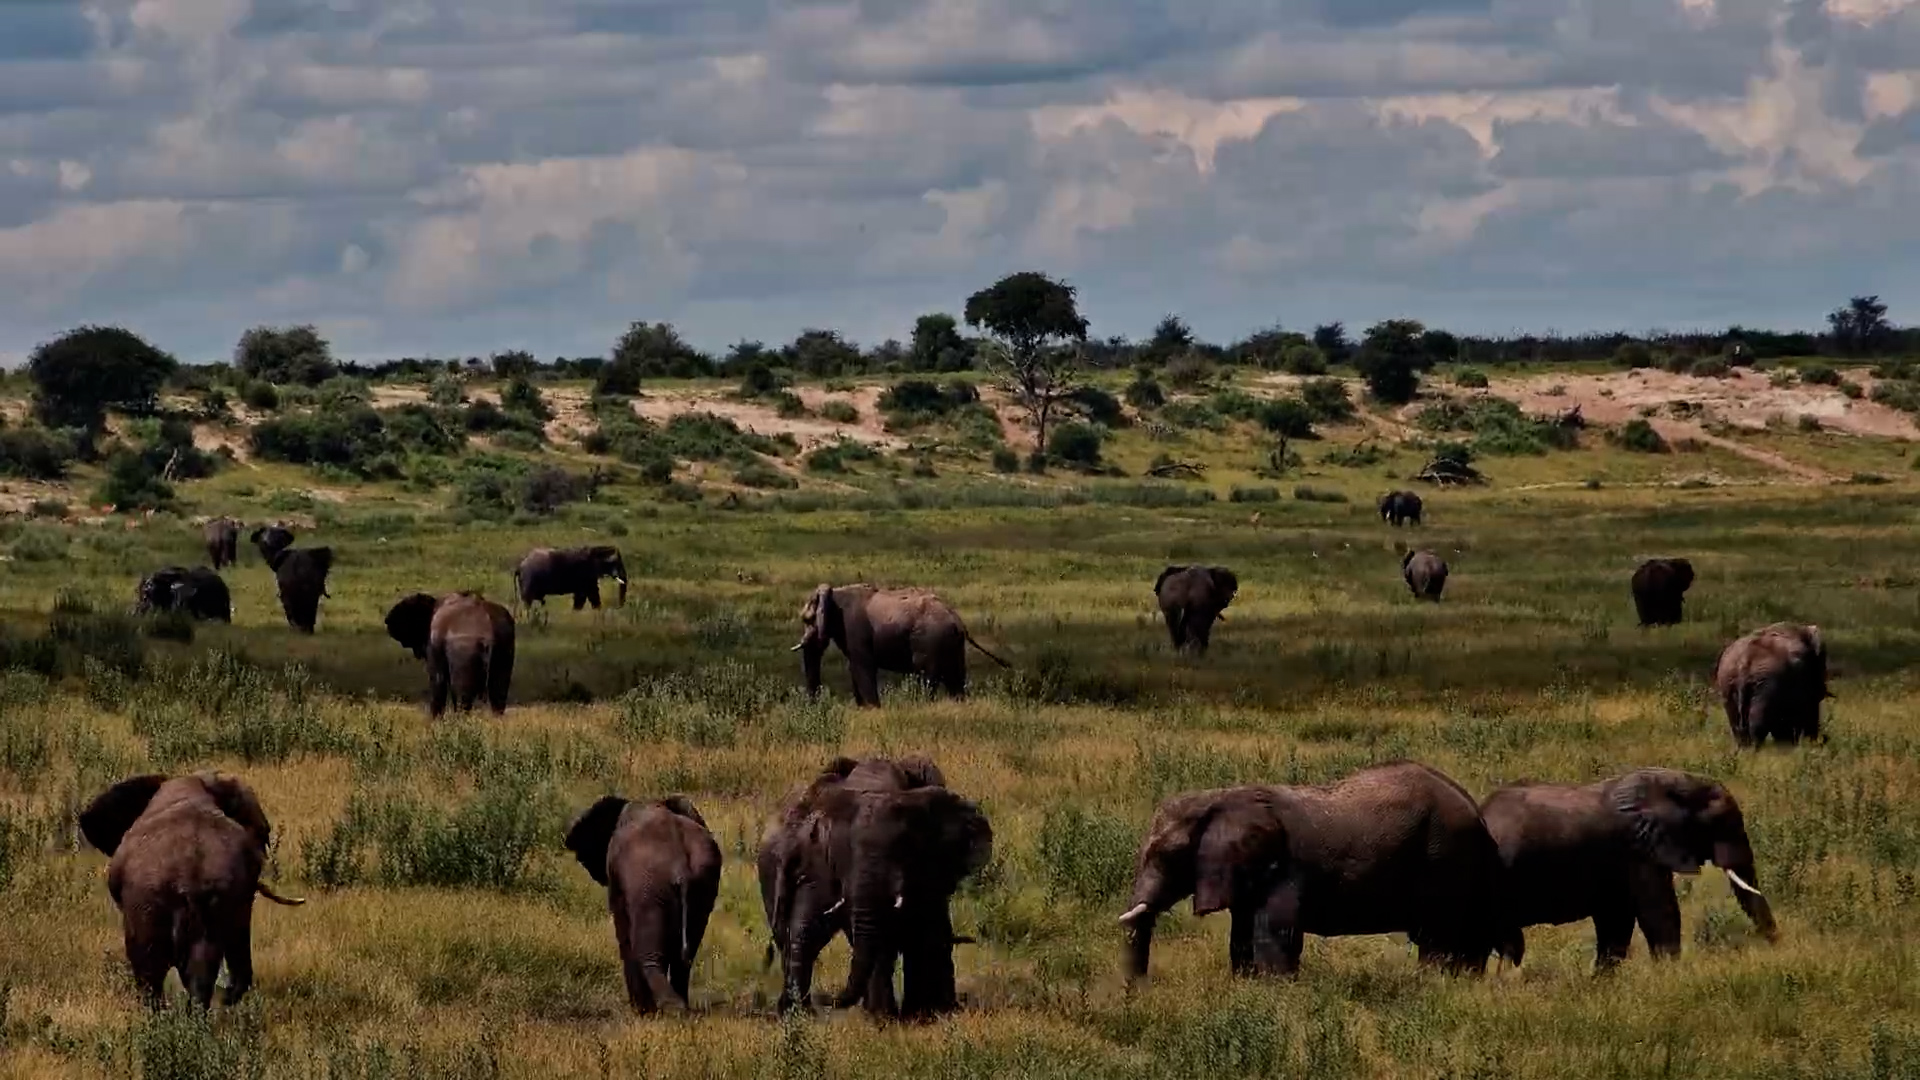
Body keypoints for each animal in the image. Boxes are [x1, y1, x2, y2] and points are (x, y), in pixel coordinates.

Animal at [384, 591, 516, 717]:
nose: (386, 621)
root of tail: (489, 632)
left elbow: (438, 680)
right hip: (505, 648)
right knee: (498, 692)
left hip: (464, 652)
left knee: (462, 695)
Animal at [564, 794, 722, 1014]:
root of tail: (680, 868)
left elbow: (623, 930)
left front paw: (640, 1010)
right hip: (702, 884)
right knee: (685, 956)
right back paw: (680, 1006)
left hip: (649, 888)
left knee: (647, 952)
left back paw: (666, 1008)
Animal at [793, 584, 1011, 706]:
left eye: (807, 620)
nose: (815, 706)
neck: (835, 594)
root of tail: (958, 620)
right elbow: (854, 668)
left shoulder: (853, 628)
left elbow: (862, 667)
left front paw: (873, 709)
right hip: (953, 645)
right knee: (955, 679)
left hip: (930, 642)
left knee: (927, 678)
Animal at [1118, 760, 1523, 982]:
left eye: (1168, 856)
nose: (1139, 991)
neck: (1218, 797)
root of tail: (1476, 812)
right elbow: (1242, 936)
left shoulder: (1283, 868)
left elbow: (1277, 934)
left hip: (1446, 857)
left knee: (1439, 937)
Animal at [1479, 768, 1777, 972]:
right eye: (1725, 825)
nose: (1773, 945)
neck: (1680, 783)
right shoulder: (1639, 851)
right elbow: (1658, 913)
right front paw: (1670, 975)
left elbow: (1617, 920)